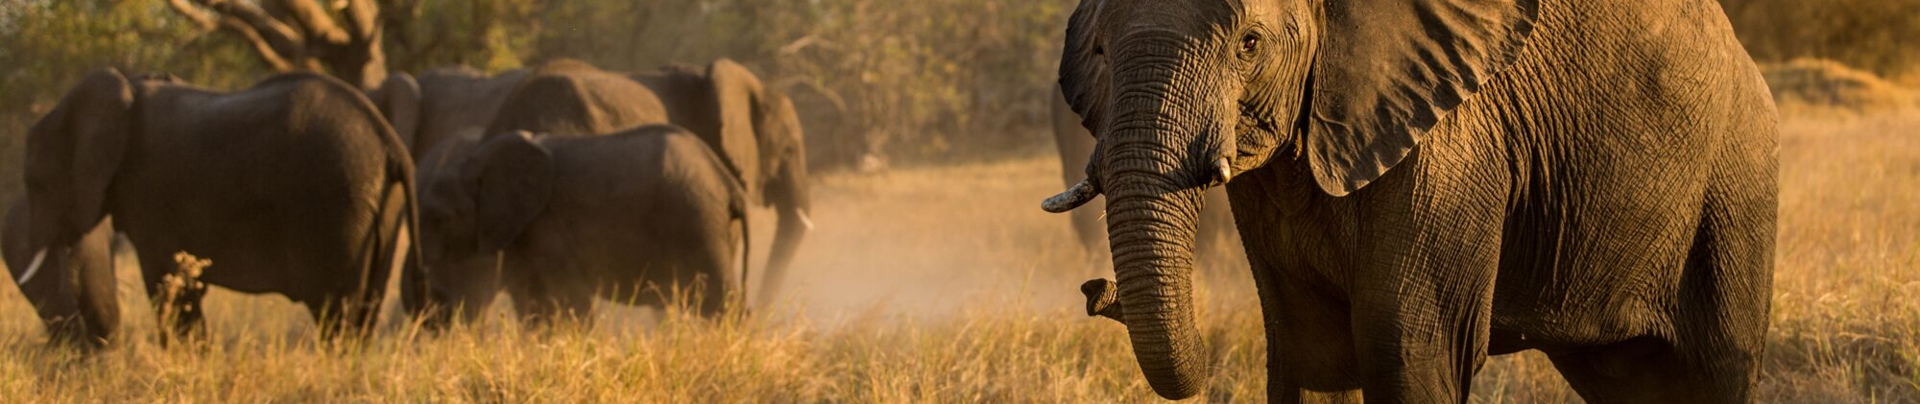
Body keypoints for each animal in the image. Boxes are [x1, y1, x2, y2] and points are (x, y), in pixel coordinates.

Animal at [20, 69, 421, 339]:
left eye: (35, 182)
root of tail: (390, 142)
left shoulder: (151, 197)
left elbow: (169, 287)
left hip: (339, 203)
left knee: (337, 311)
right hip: (379, 207)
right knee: (366, 306)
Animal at [412, 125, 748, 325]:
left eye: (441, 218)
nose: (436, 299)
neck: (477, 160)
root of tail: (728, 182)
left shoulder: (548, 228)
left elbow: (569, 301)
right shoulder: (521, 232)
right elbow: (530, 303)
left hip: (698, 222)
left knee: (721, 303)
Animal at [1041, 0, 1779, 402]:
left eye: (1249, 44)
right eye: (1100, 50)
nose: (1094, 289)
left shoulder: (1454, 140)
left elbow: (1407, 349)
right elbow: (1316, 352)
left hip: (1734, 189)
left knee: (1716, 371)